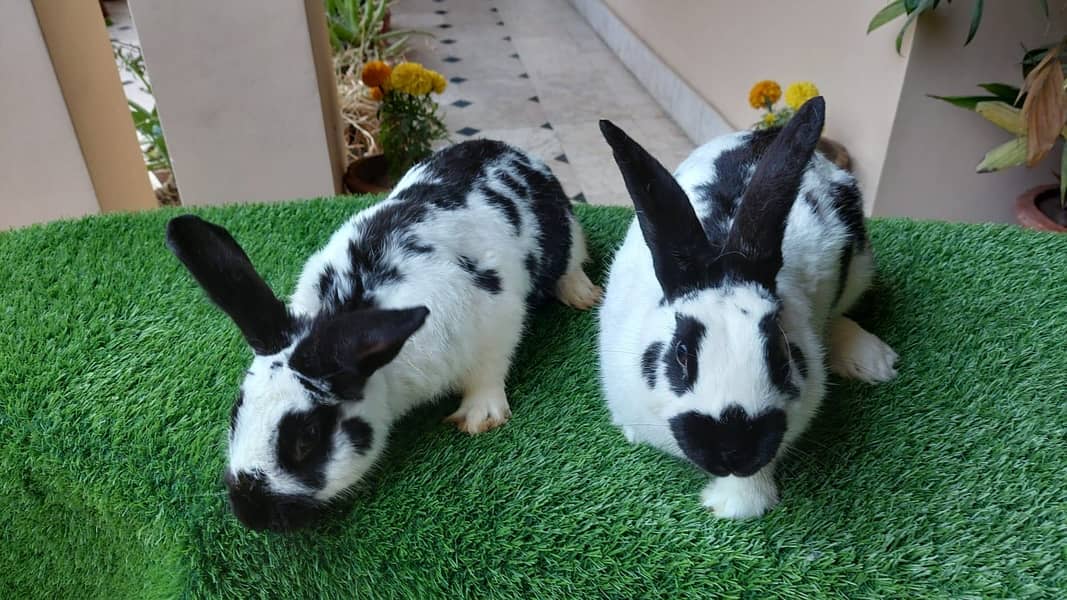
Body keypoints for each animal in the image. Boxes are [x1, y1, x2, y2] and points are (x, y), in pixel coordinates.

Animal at [165, 139, 601, 531]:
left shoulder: (499, 317)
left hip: (568, 234)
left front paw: (479, 418)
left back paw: (583, 294)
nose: (249, 515)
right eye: (237, 411)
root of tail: (512, 150)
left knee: (573, 262)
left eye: (307, 439)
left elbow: (489, 371)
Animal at [596, 97, 898, 520]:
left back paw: (874, 362)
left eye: (781, 353)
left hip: (858, 268)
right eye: (681, 353)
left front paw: (736, 504)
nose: (733, 450)